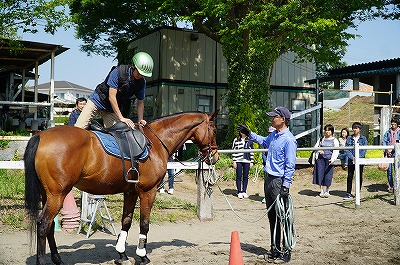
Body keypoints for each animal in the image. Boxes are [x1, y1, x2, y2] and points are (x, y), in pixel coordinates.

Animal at [25, 110, 219, 262]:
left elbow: (126, 221)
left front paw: (122, 253)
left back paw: (57, 258)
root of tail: (40, 135)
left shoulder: (130, 192)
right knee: (43, 224)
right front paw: (142, 255)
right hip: (57, 195)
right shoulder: (148, 192)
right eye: (214, 130)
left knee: (49, 226)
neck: (156, 142)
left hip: (48, 194)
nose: (215, 156)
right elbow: (144, 224)